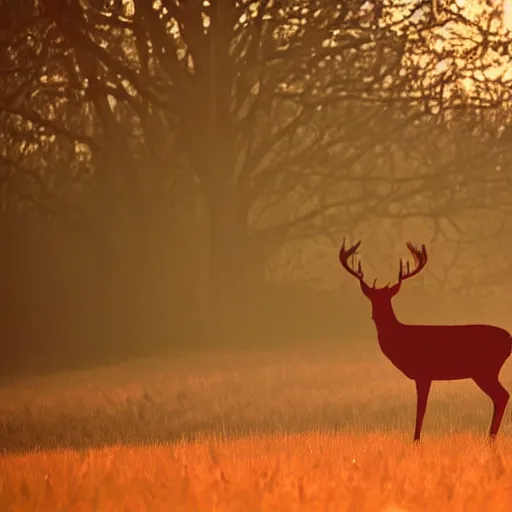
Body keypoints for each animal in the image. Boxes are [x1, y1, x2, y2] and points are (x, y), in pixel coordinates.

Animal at [338, 238, 510, 442]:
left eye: (387, 299)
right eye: (372, 299)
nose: (376, 315)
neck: (401, 337)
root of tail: (509, 339)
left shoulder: (423, 372)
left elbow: (421, 408)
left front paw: (416, 440)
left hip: (485, 370)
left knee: (502, 396)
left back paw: (490, 438)